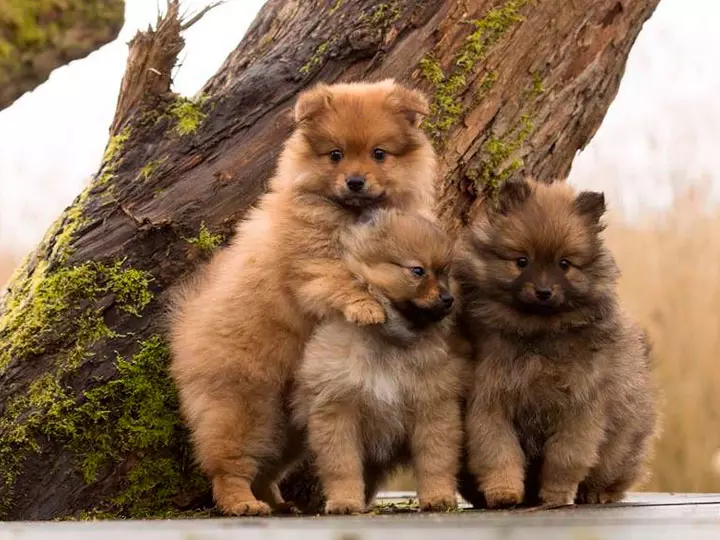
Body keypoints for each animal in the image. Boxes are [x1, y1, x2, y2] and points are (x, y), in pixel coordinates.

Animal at [171, 79, 436, 516]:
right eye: (336, 155)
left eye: (379, 154)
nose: (355, 181)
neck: (352, 215)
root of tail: (184, 326)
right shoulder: (312, 263)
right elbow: (342, 280)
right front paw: (366, 308)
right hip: (244, 405)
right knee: (228, 464)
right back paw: (242, 503)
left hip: (289, 426)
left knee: (267, 468)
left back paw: (278, 502)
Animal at [294, 210, 466, 516]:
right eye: (418, 271)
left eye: (445, 273)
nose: (449, 299)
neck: (388, 340)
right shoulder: (337, 411)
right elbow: (343, 466)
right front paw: (344, 501)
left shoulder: (432, 406)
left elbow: (435, 459)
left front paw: (438, 497)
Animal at [456, 179, 660, 508]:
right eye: (521, 261)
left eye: (564, 264)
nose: (543, 291)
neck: (538, 335)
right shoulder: (489, 401)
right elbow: (497, 451)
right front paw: (503, 492)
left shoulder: (580, 406)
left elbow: (565, 458)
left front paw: (556, 495)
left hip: (621, 444)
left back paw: (598, 493)